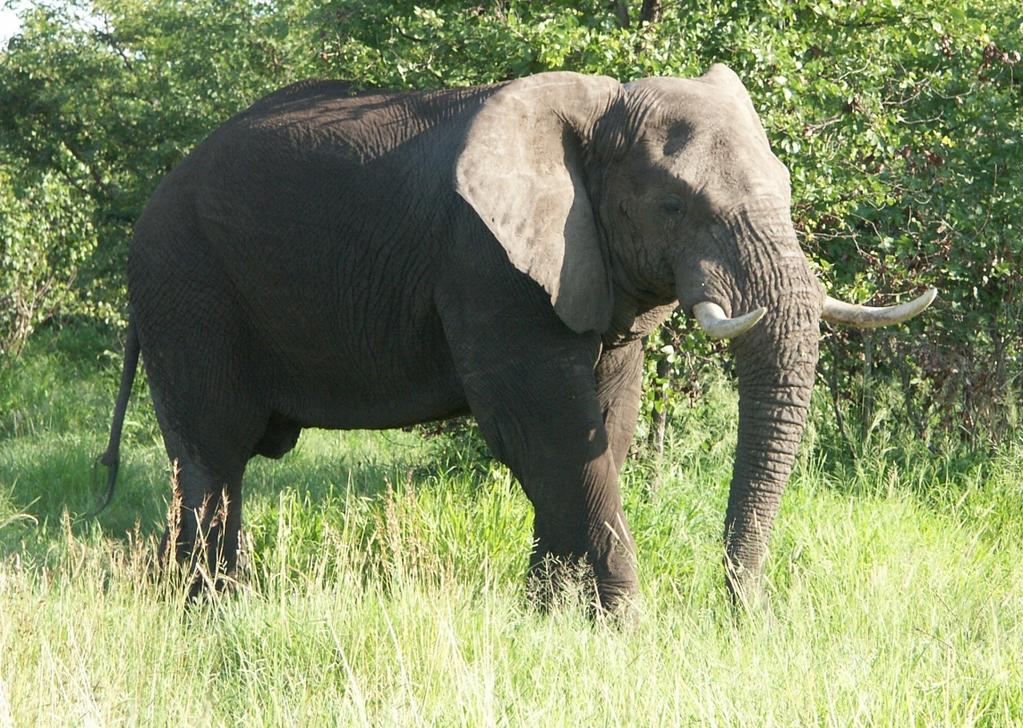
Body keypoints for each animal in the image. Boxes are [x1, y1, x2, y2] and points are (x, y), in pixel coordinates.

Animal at [97, 63, 937, 613]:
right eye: (672, 206)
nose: (740, 615)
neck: (597, 111)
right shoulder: (483, 260)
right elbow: (548, 428)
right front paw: (621, 626)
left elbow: (605, 428)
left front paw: (551, 617)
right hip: (185, 283)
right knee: (214, 453)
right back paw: (207, 611)